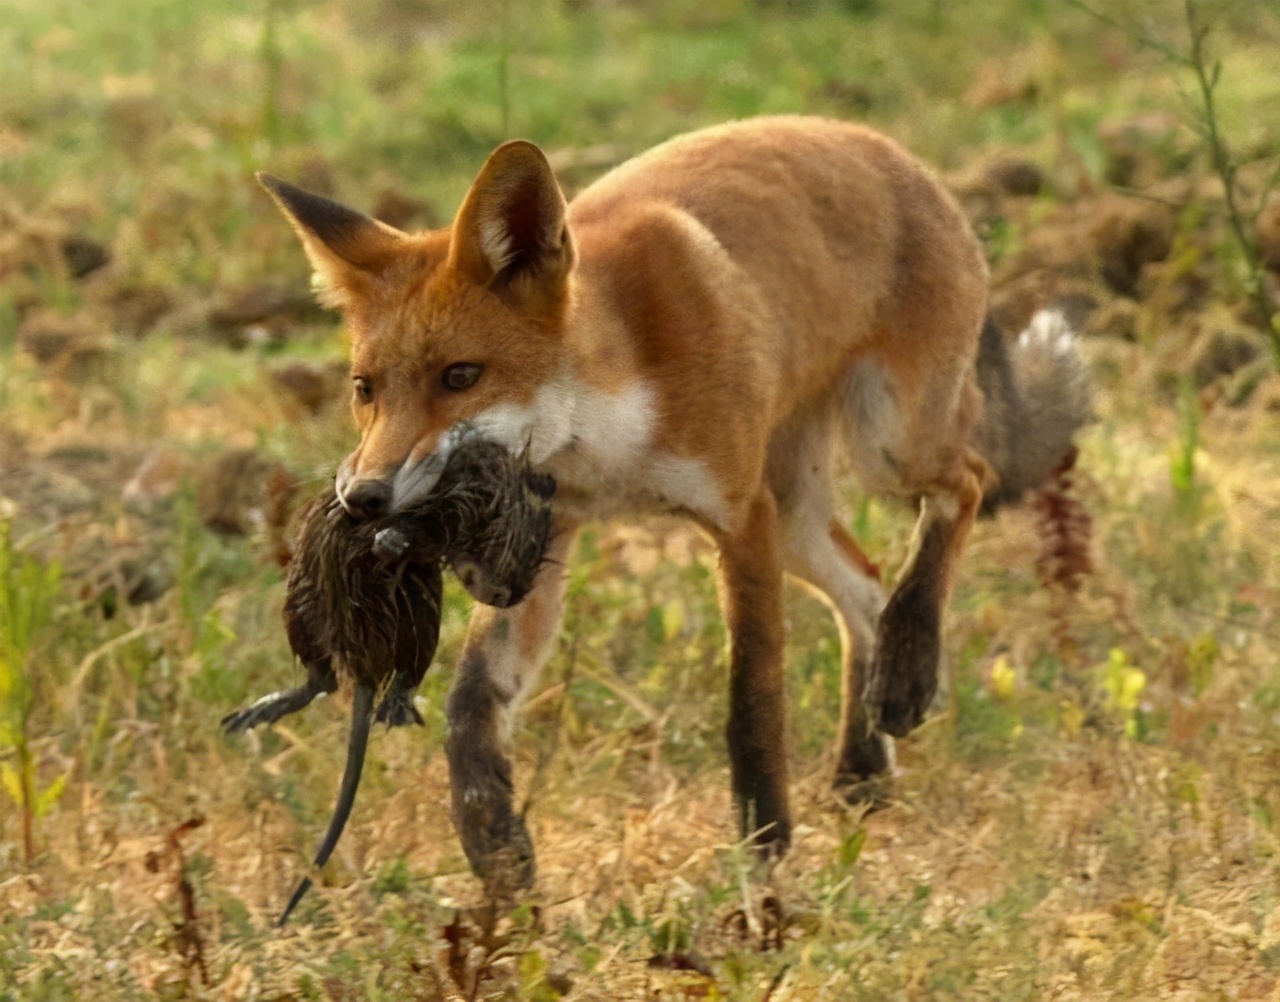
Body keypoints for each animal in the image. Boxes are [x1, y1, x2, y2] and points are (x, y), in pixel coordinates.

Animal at [262, 113, 1090, 890]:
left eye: (460, 376)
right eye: (365, 390)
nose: (363, 498)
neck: (606, 442)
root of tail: (897, 153)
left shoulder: (740, 519)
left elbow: (752, 707)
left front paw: (766, 860)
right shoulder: (542, 537)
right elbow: (472, 704)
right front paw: (493, 841)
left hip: (887, 445)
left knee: (966, 484)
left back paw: (908, 668)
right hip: (799, 514)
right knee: (866, 584)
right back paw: (862, 765)